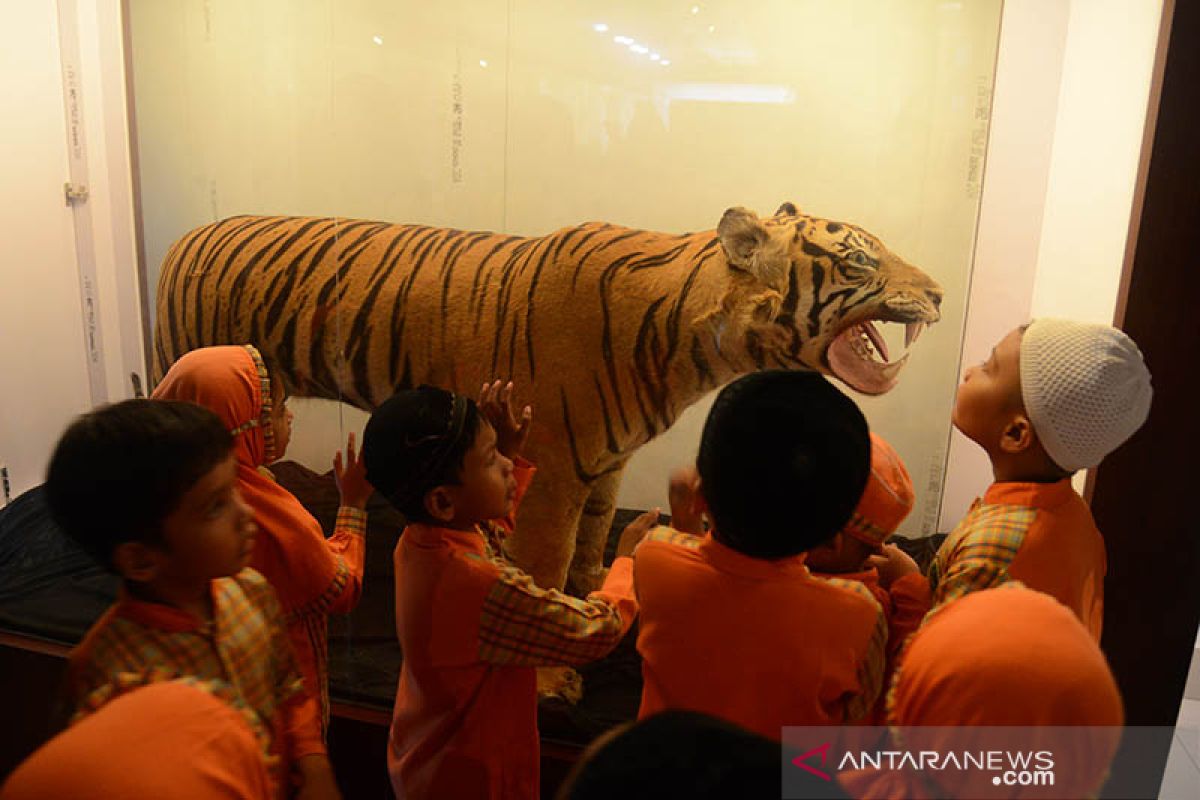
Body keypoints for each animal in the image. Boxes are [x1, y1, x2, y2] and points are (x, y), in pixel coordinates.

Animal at [154, 205, 945, 594]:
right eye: (860, 260)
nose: (939, 292)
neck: (698, 344)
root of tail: (184, 236)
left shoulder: (607, 462)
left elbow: (591, 538)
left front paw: (597, 584)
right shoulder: (556, 467)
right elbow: (543, 554)